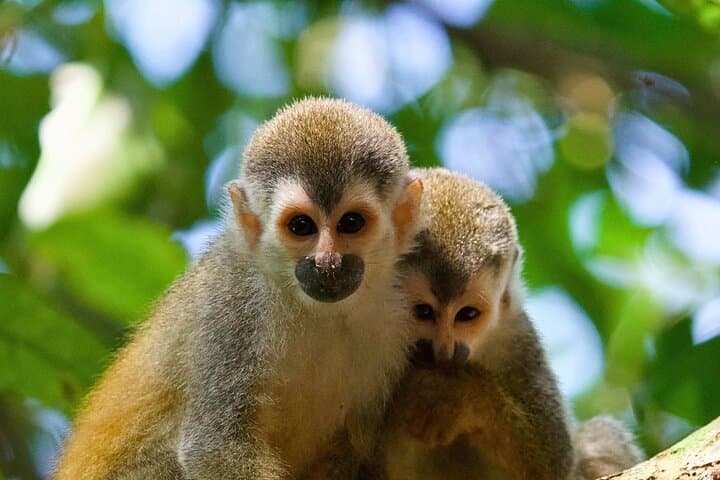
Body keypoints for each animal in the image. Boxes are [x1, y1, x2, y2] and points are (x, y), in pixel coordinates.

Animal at [52, 97, 425, 480]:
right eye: (301, 226)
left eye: (351, 222)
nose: (327, 262)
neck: (320, 312)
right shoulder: (231, 303)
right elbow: (215, 445)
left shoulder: (397, 321)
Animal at [373, 168, 640, 480]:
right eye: (423, 311)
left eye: (467, 315)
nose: (442, 349)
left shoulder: (517, 336)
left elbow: (554, 460)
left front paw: (460, 395)